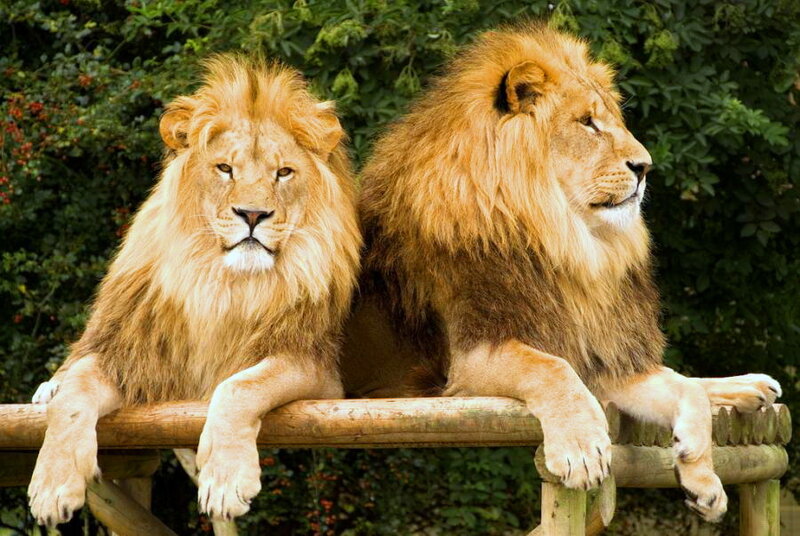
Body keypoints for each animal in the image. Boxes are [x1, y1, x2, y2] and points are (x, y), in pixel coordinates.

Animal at [27, 55, 361, 526]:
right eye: (225, 168)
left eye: (283, 173)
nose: (252, 214)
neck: (223, 284)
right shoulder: (132, 356)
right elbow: (73, 396)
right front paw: (51, 487)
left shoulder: (317, 370)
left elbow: (240, 386)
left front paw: (224, 482)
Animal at [342, 23, 781, 522]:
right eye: (587, 122)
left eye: (611, 119)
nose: (645, 166)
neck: (565, 240)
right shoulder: (473, 357)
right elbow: (552, 368)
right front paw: (582, 449)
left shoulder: (603, 358)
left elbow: (682, 388)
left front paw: (702, 479)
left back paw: (750, 387)